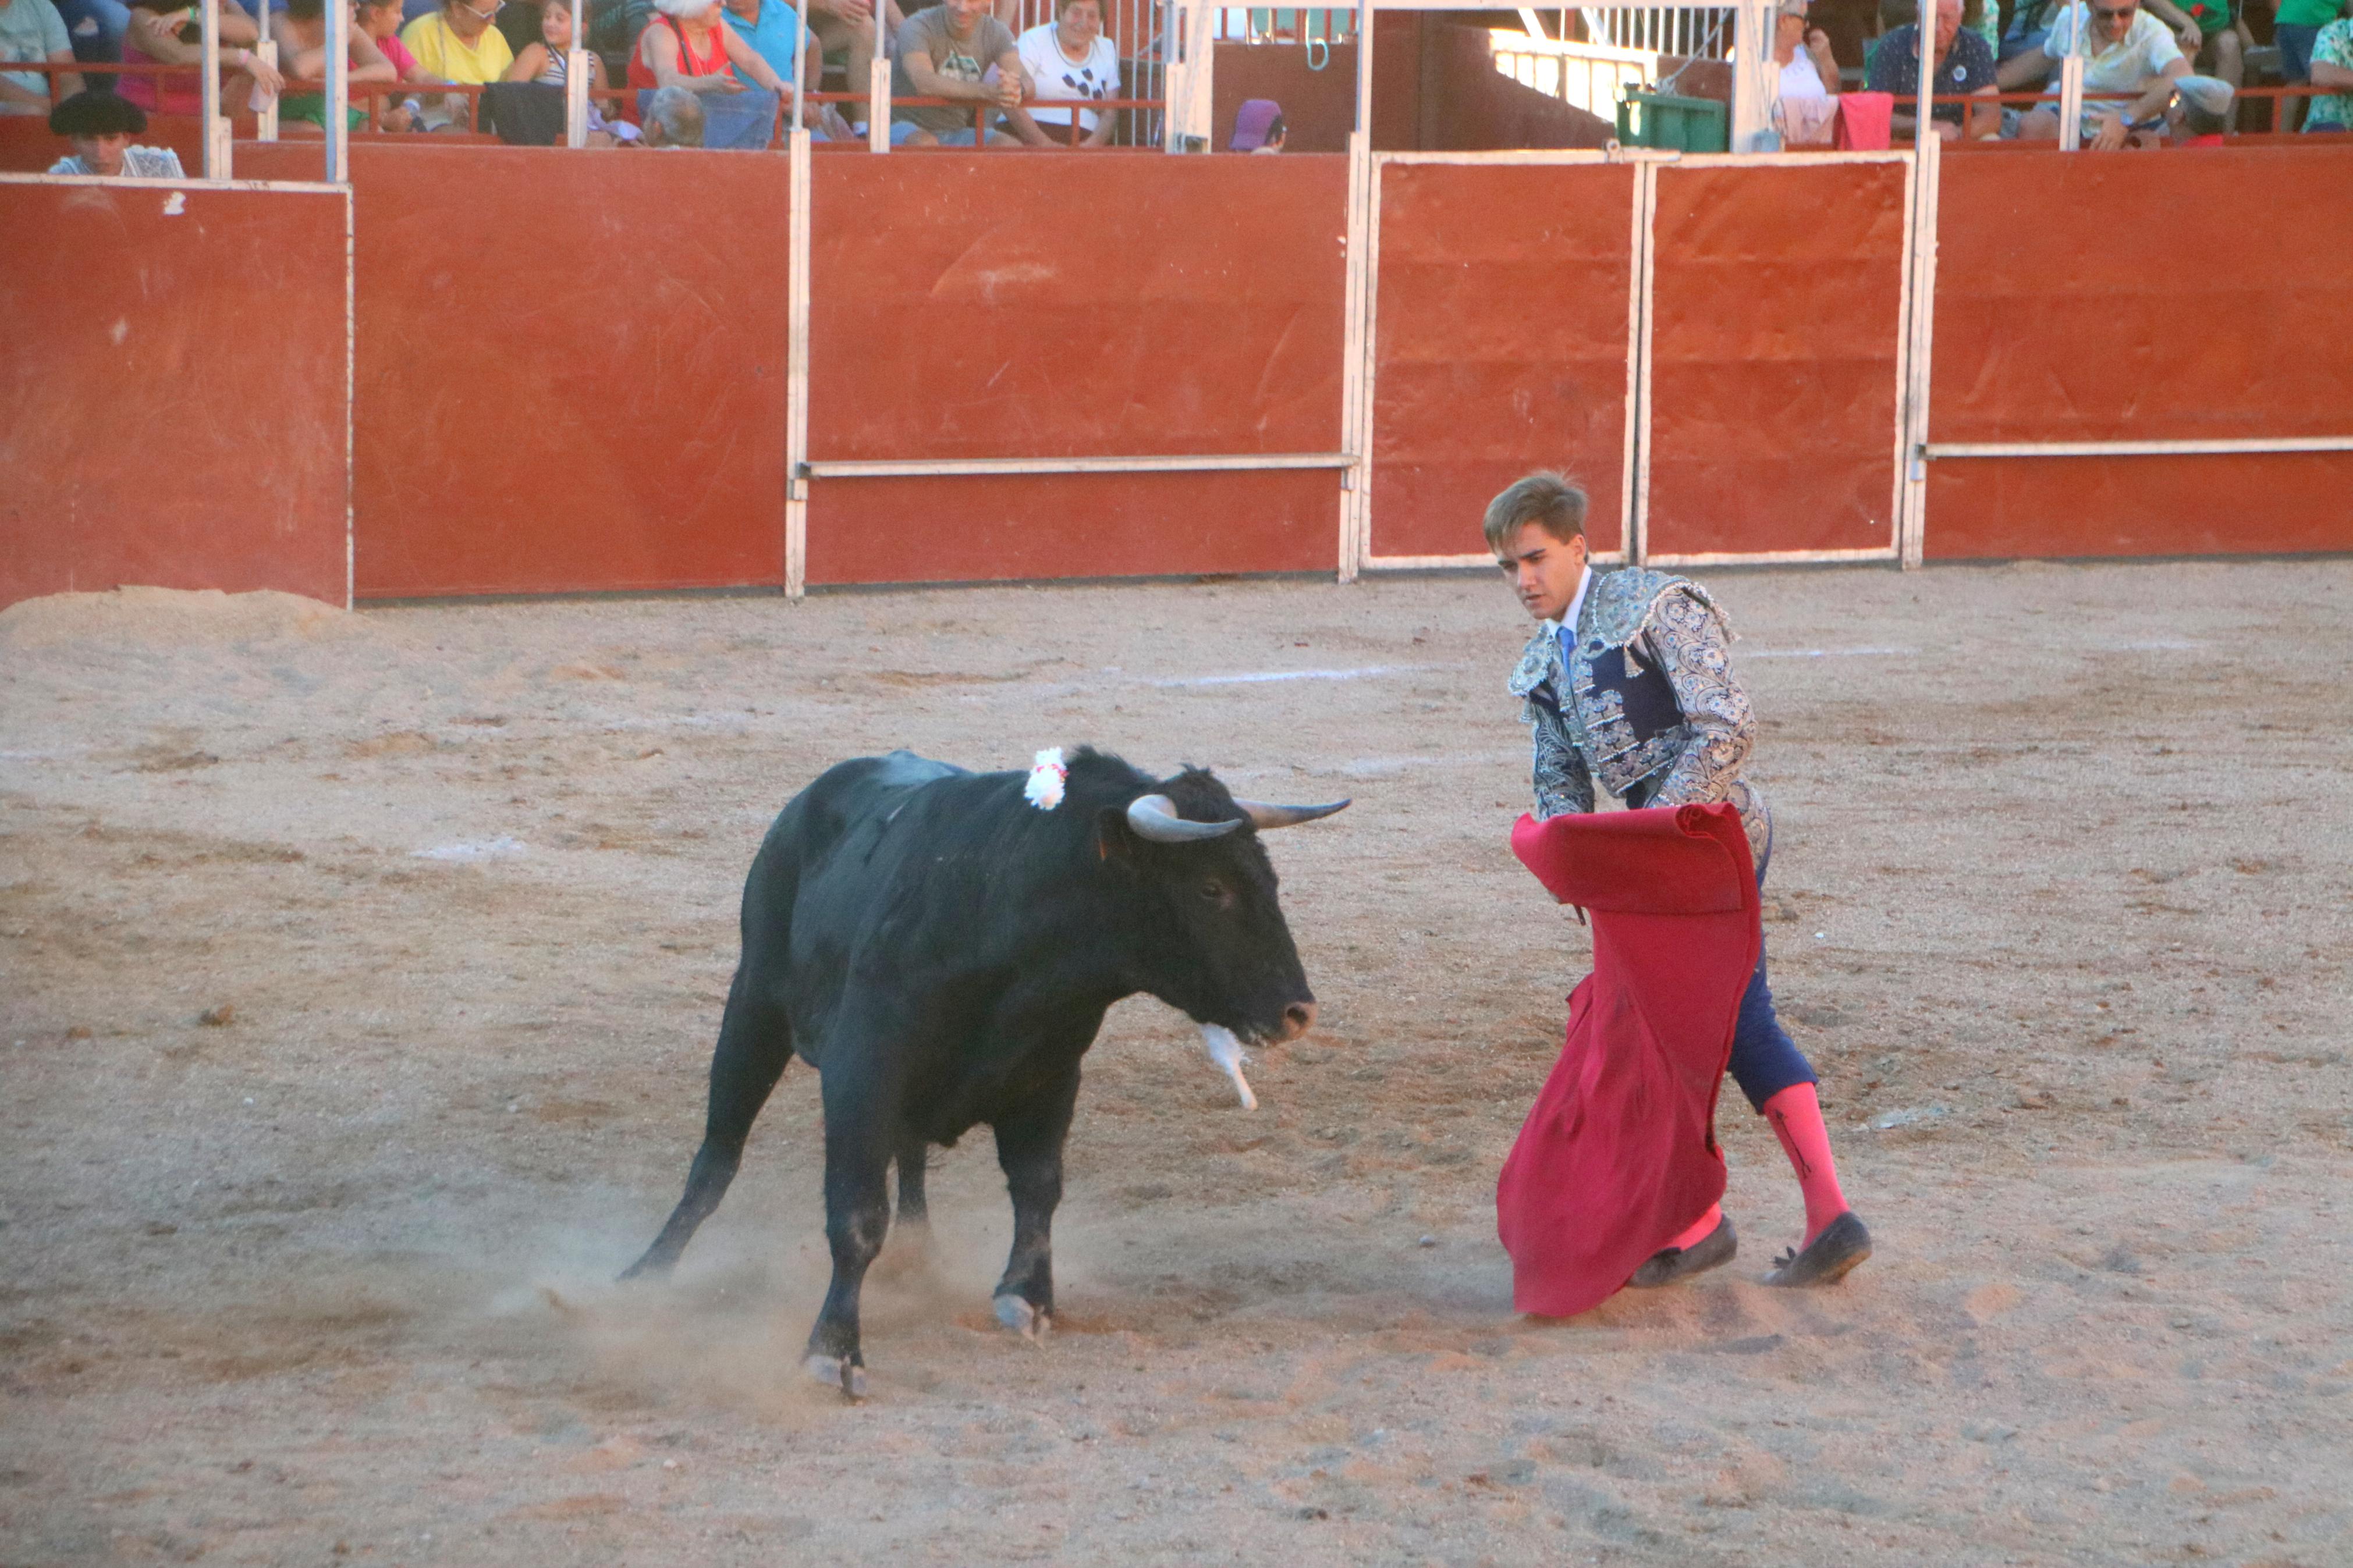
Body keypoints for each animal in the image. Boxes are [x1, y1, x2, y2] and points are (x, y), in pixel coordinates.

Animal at [616, 747, 1355, 1401]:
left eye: (1270, 881)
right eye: (1211, 887)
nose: (1297, 1012)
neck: (1004, 911)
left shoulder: (1051, 1077)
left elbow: (1037, 1189)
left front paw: (1025, 1298)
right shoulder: (861, 1074)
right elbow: (856, 1216)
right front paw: (834, 1351)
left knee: (909, 1158)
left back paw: (920, 1256)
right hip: (754, 1007)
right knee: (718, 1155)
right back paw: (647, 1273)